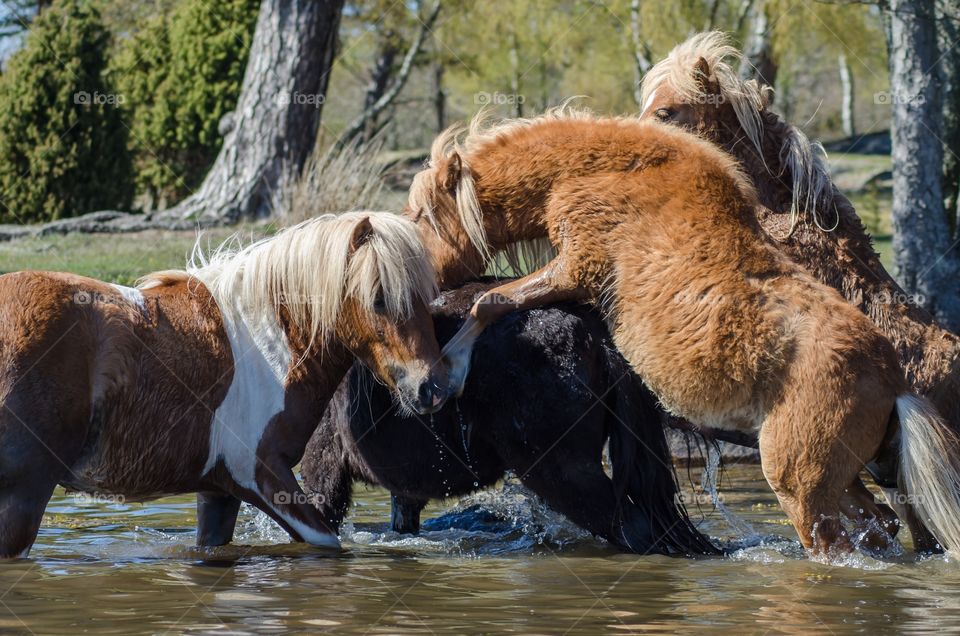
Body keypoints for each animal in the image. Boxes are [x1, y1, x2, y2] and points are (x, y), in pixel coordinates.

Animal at [0, 211, 449, 558]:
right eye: (378, 299)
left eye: (426, 297)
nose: (431, 387)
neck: (269, 340)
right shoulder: (262, 475)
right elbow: (326, 541)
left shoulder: (218, 492)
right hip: (22, 497)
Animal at [403, 109, 960, 556]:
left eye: (422, 215)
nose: (417, 285)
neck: (594, 169)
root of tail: (895, 382)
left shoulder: (577, 268)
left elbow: (489, 301)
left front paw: (448, 373)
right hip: (850, 481)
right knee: (881, 523)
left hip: (802, 487)